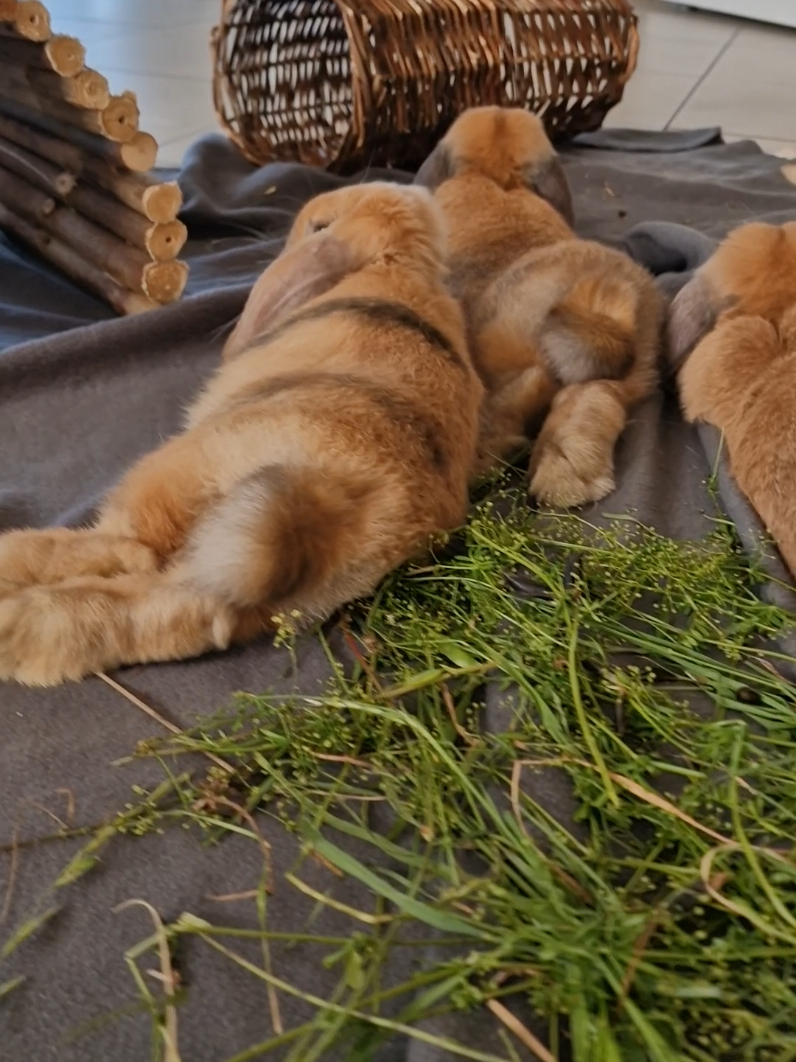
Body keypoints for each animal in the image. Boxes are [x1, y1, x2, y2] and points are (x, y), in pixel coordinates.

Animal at [0, 182, 483, 687]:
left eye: (319, 226)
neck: (393, 263)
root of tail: (333, 507)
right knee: (175, 607)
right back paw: (23, 635)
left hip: (181, 477)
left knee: (129, 550)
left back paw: (10, 587)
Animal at [414, 105, 665, 508]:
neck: (495, 177)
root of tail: (603, 294)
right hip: (627, 373)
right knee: (591, 397)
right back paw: (568, 472)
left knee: (516, 401)